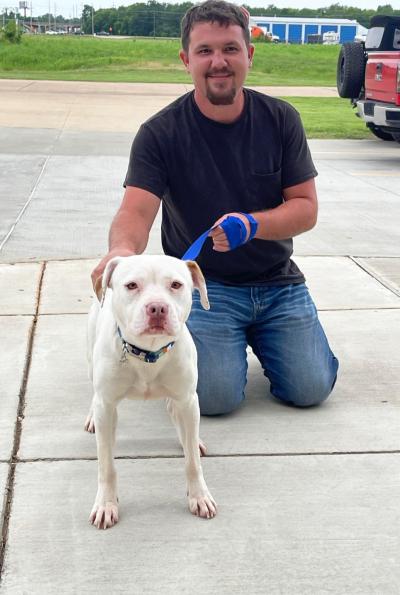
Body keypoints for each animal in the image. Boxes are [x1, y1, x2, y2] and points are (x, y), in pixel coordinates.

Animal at [83, 254, 216, 528]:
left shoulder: (188, 400)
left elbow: (192, 463)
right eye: (132, 285)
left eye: (176, 285)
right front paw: (106, 504)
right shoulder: (107, 405)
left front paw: (199, 496)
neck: (148, 352)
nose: (157, 308)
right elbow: (106, 465)